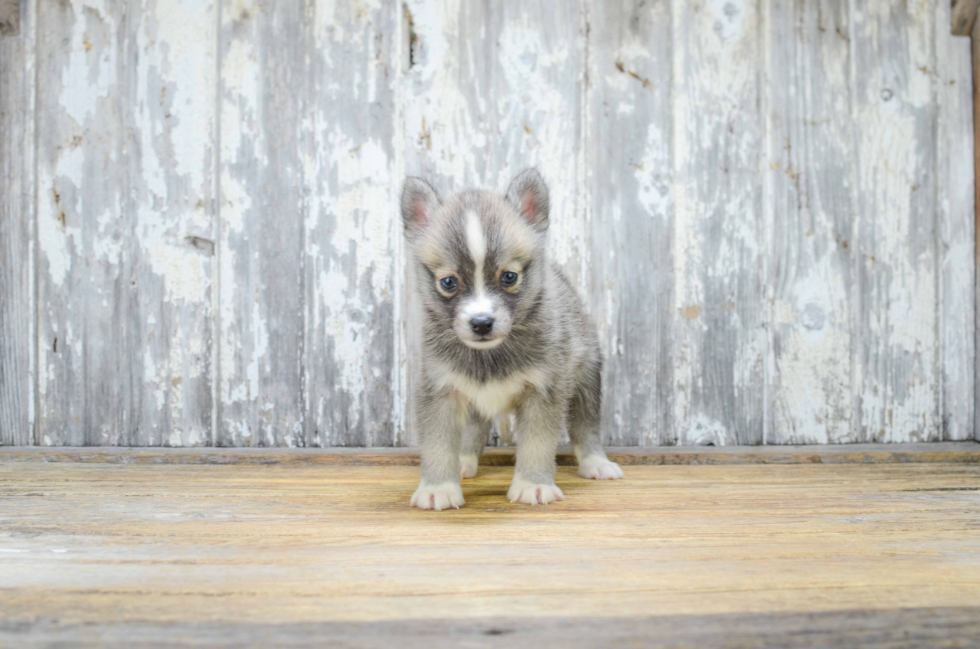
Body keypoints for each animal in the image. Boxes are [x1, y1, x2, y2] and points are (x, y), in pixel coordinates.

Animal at [400, 168, 624, 512]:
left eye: (509, 277)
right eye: (448, 282)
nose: (481, 323)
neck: (490, 354)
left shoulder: (542, 392)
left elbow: (537, 444)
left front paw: (533, 484)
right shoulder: (440, 392)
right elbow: (438, 445)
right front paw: (438, 487)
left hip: (585, 380)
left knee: (586, 427)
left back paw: (595, 463)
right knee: (474, 430)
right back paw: (464, 461)